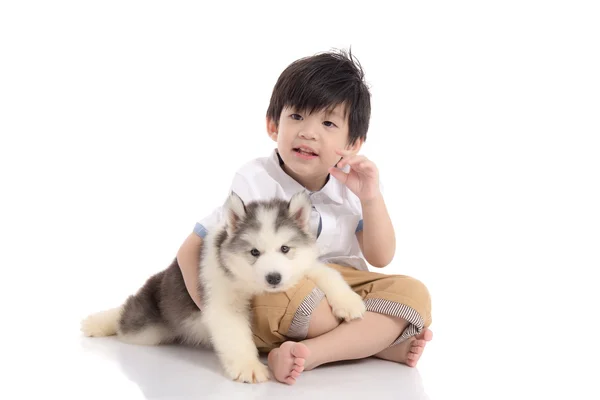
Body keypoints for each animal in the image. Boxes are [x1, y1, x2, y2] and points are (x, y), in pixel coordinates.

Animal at [81, 192, 366, 382]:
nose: (274, 278)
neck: (250, 283)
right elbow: (236, 335)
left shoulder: (299, 268)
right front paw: (249, 365)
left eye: (285, 249)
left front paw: (349, 302)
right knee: (124, 316)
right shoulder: (222, 301)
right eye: (254, 252)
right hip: (146, 328)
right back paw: (99, 322)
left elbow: (326, 271)